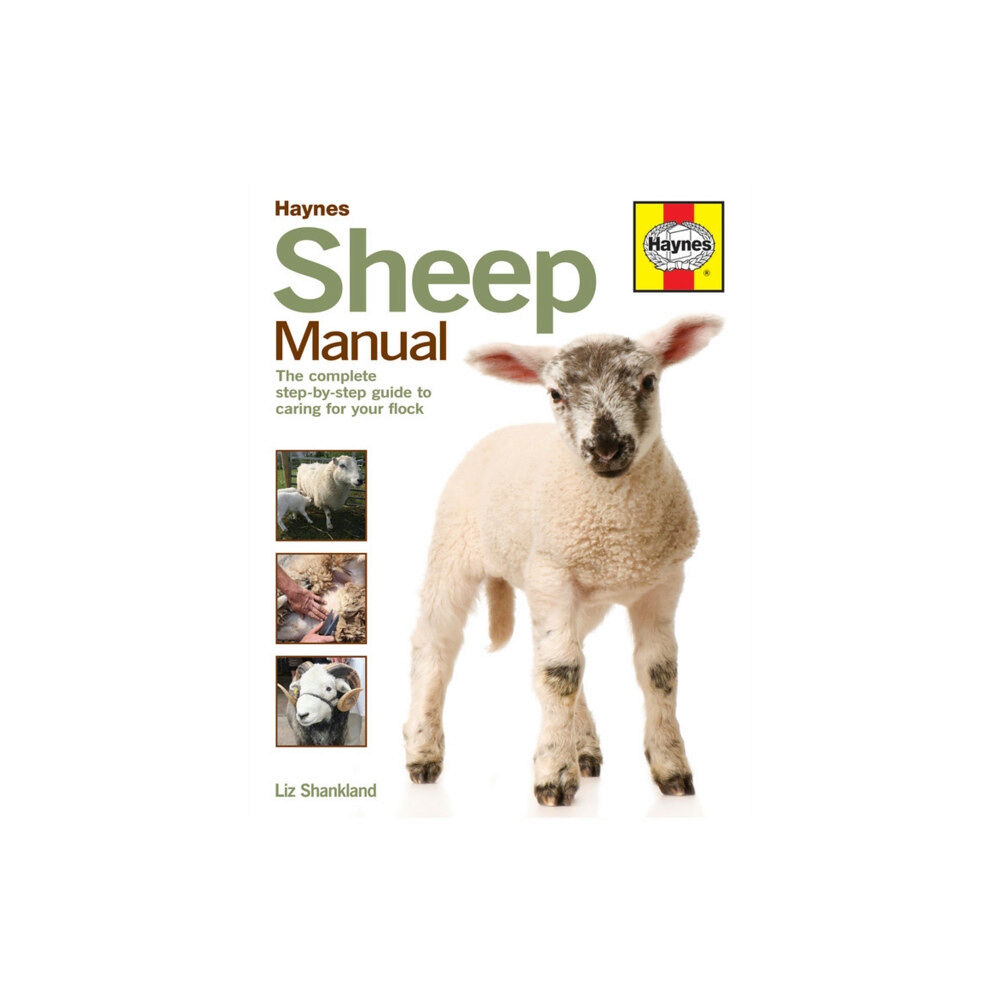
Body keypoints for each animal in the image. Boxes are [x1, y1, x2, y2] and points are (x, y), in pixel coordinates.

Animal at [403, 315, 722, 806]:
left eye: (648, 382)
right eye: (555, 394)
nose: (606, 447)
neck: (620, 535)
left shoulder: (662, 582)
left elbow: (659, 672)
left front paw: (671, 768)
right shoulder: (552, 575)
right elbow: (559, 674)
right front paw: (553, 775)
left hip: (581, 597)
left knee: (569, 652)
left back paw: (585, 747)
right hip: (453, 550)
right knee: (435, 645)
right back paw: (421, 751)